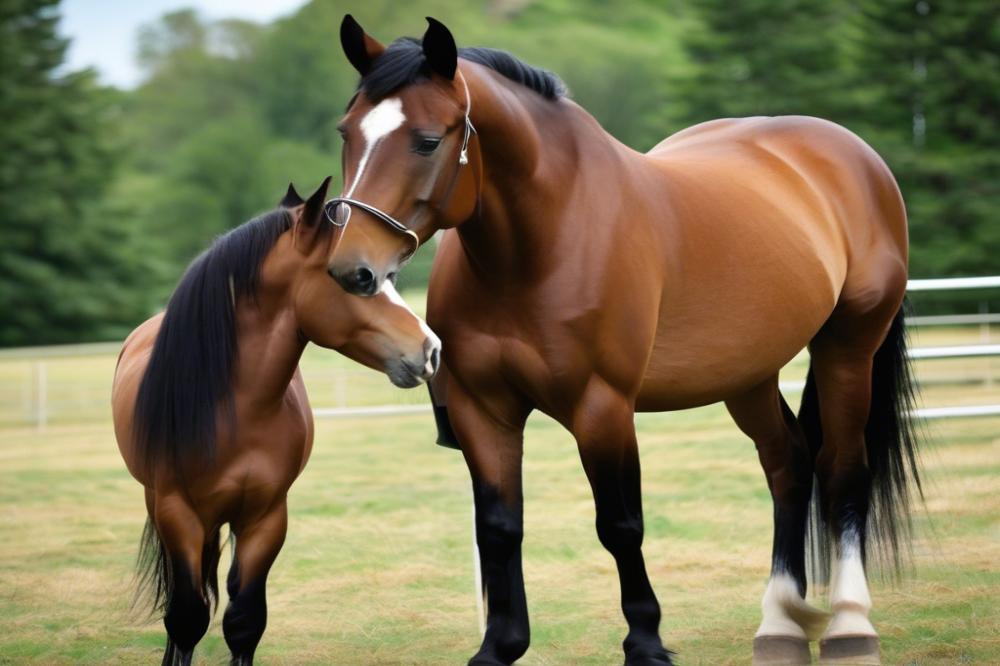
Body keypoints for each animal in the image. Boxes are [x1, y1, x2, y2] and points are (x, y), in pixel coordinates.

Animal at [111, 176, 440, 664]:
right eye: (360, 277)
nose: (431, 349)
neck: (235, 410)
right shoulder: (178, 512)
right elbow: (186, 618)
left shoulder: (267, 518)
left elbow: (245, 622)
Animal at [330, 16, 920, 664]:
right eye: (346, 131)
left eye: (428, 141)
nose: (352, 269)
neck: (541, 243)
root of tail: (854, 156)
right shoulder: (481, 408)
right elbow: (500, 525)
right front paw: (500, 645)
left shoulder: (602, 406)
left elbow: (619, 525)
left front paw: (646, 643)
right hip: (748, 374)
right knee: (787, 462)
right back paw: (781, 627)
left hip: (849, 348)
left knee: (842, 468)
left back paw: (849, 626)